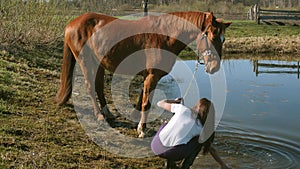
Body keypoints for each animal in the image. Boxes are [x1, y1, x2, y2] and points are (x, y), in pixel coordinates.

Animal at [55, 10, 230, 137]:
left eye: (223, 39)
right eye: (213, 37)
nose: (214, 67)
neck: (164, 35)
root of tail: (71, 24)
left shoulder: (148, 77)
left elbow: (141, 100)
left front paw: (136, 121)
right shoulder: (152, 76)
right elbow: (146, 103)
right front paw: (142, 129)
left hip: (98, 63)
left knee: (98, 86)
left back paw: (107, 113)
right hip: (85, 61)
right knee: (90, 86)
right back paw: (99, 116)